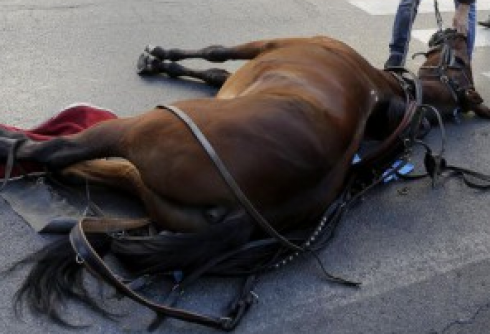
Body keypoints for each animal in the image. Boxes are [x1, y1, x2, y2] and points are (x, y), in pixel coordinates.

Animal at [3, 30, 490, 328]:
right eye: (461, 58)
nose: (452, 31)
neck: (385, 92)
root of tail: (245, 213)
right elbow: (216, 71)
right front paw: (163, 64)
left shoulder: (268, 43)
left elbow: (217, 52)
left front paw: (160, 57)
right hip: (144, 184)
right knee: (77, 165)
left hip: (143, 128)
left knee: (57, 152)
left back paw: (14, 144)